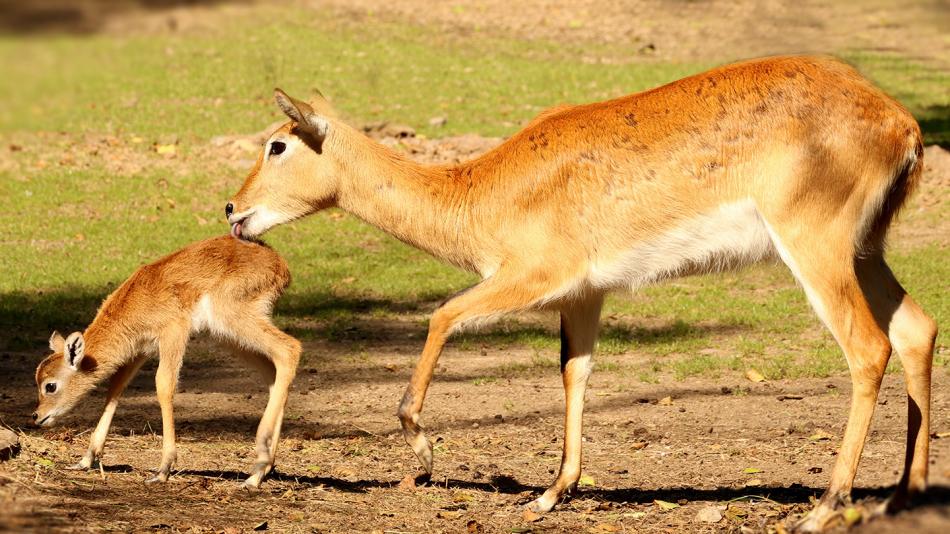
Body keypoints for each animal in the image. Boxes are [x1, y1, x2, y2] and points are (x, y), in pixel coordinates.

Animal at [34, 236, 302, 490]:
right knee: (272, 371)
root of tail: (280, 264)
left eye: (50, 385)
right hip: (229, 335)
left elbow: (164, 386)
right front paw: (84, 460)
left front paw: (163, 470)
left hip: (233, 318)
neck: (133, 303)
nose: (37, 416)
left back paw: (255, 472)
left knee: (289, 349)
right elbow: (115, 388)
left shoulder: (173, 332)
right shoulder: (140, 350)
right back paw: (263, 469)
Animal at [229, 54, 936, 532]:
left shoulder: (530, 278)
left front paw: (422, 457)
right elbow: (575, 371)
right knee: (917, 330)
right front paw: (551, 492)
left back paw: (824, 507)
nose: (233, 209)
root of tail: (903, 123)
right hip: (866, 250)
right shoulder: (585, 295)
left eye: (278, 143)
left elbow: (441, 315)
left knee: (867, 347)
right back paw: (905, 496)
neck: (479, 191)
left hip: (817, 246)